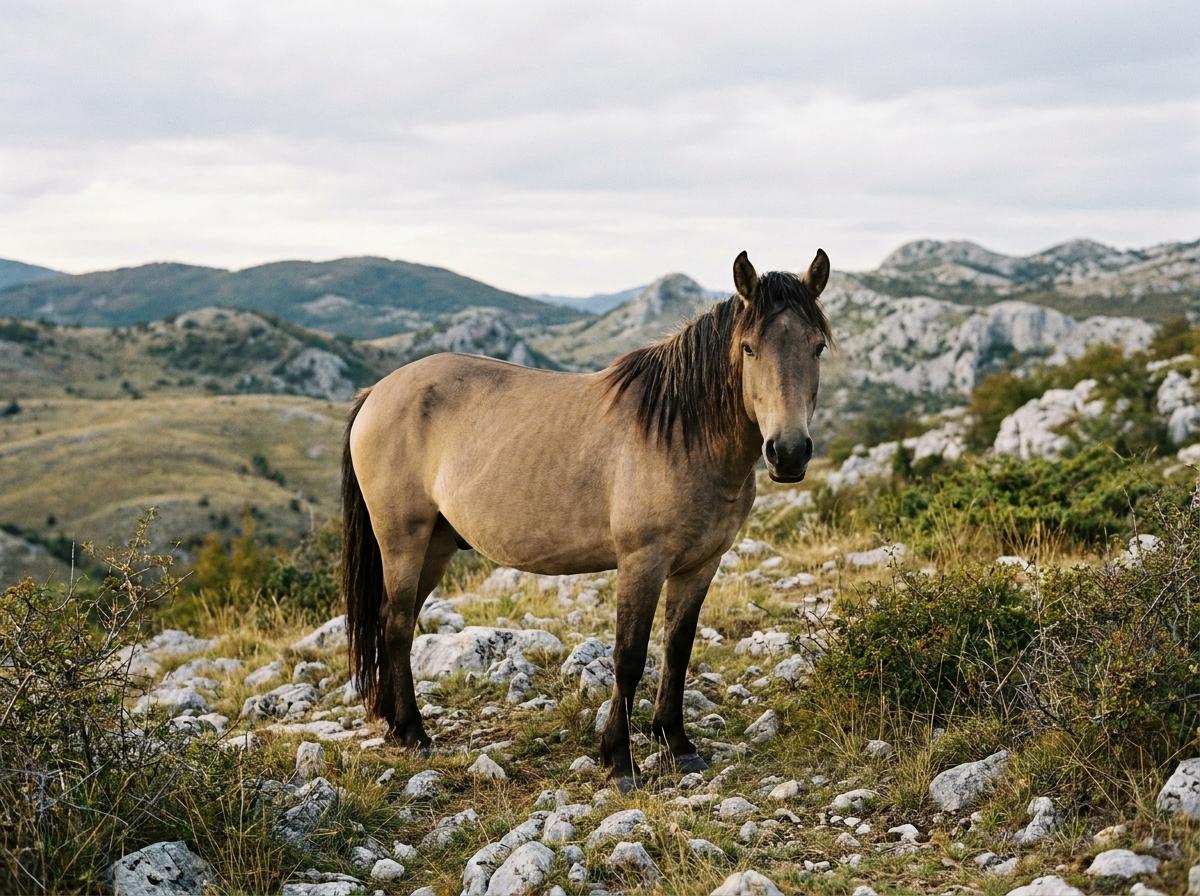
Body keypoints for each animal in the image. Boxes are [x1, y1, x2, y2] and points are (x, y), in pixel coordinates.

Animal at [342, 248, 832, 790]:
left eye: (817, 348)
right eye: (748, 348)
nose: (788, 453)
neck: (682, 434)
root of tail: (377, 392)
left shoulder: (700, 565)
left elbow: (677, 650)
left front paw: (677, 744)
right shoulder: (642, 563)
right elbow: (629, 658)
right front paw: (618, 759)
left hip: (436, 545)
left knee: (398, 623)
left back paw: (396, 725)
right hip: (402, 540)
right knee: (396, 624)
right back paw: (413, 733)